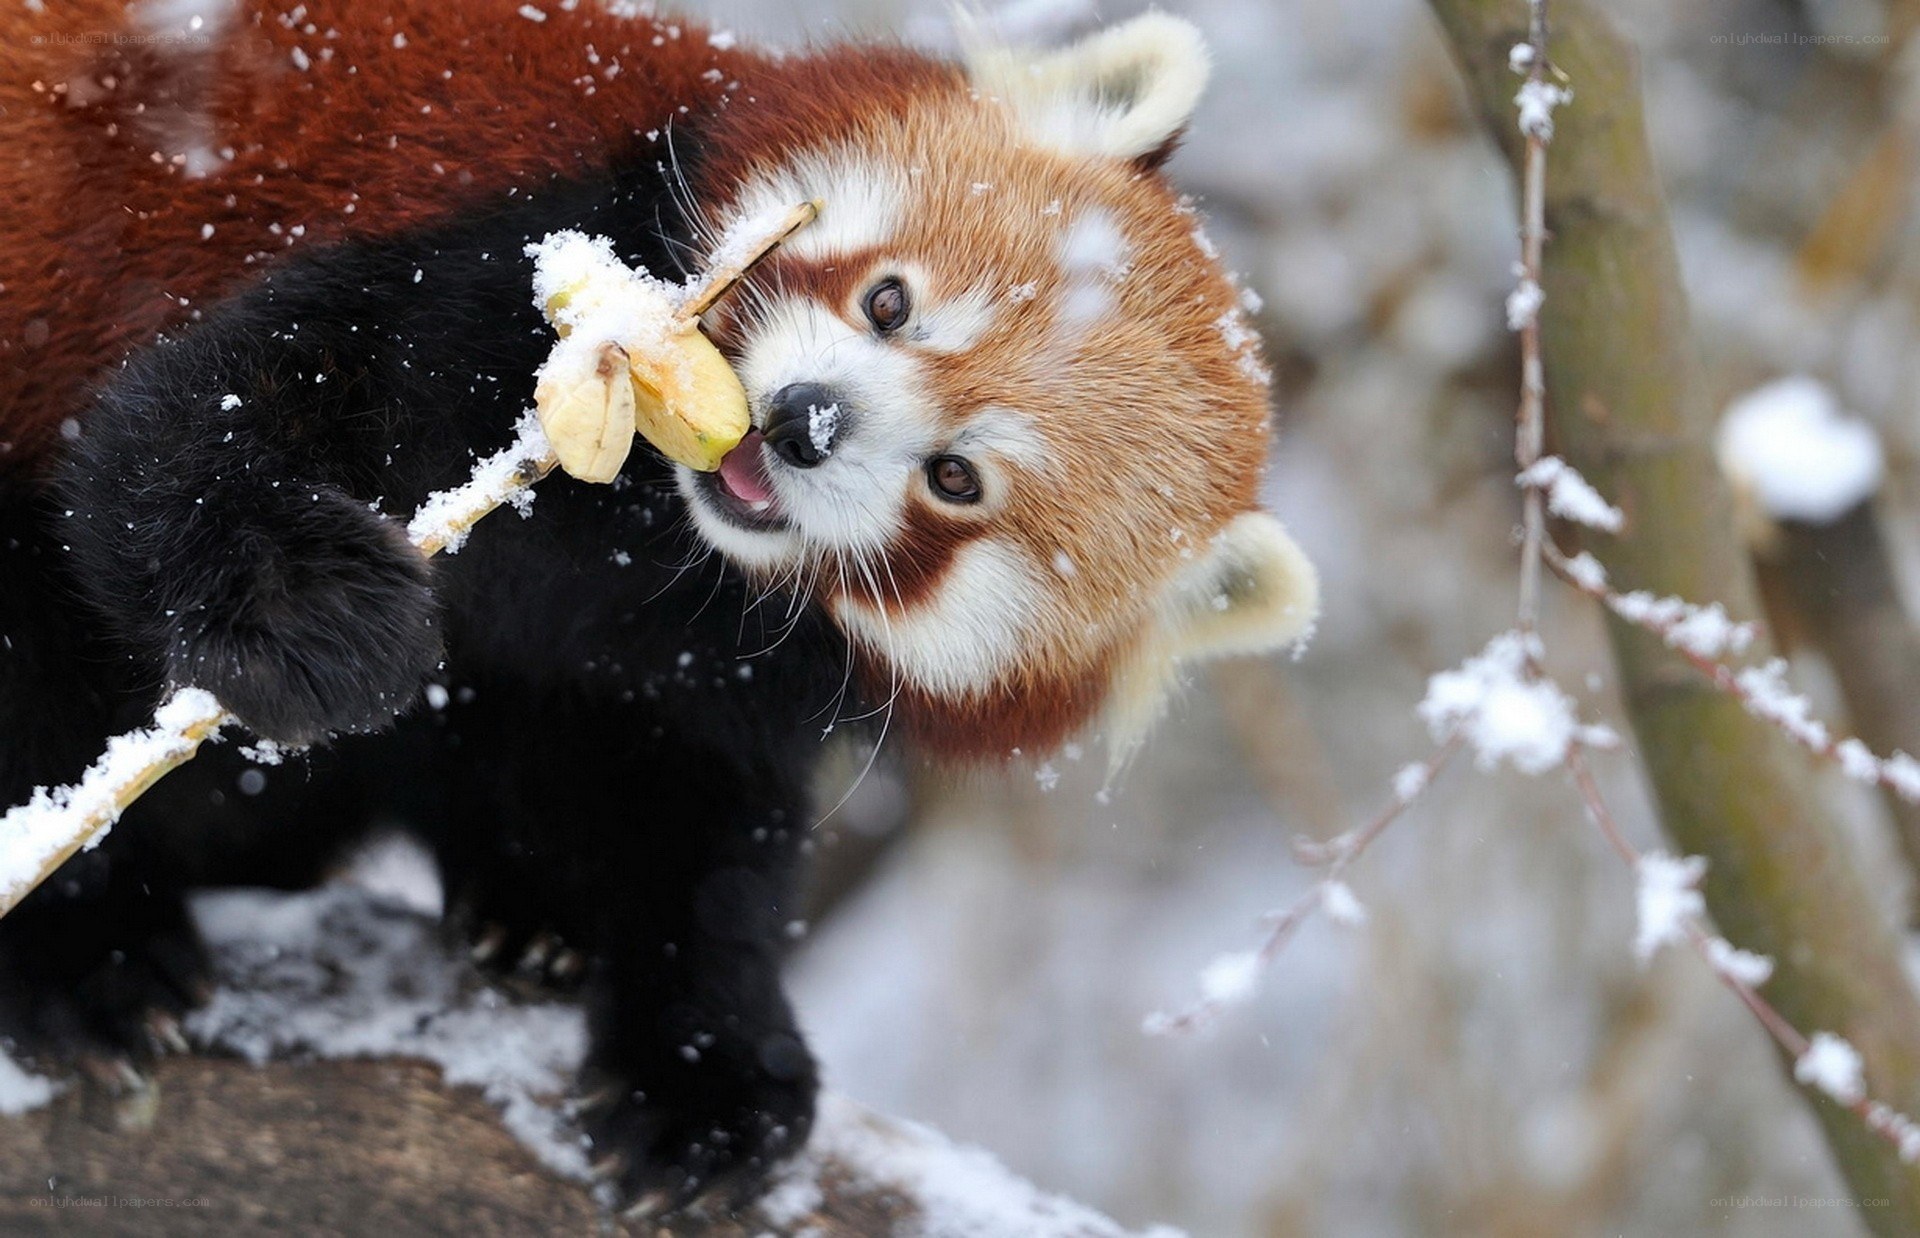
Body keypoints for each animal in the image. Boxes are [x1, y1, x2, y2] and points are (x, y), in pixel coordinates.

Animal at [0, 0, 1318, 1212]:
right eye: (891, 302)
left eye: (957, 479)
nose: (804, 420)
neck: (650, 536)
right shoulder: (509, 266)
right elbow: (198, 419)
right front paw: (311, 611)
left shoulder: (715, 668)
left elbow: (699, 825)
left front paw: (709, 1068)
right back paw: (82, 950)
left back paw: (527, 907)